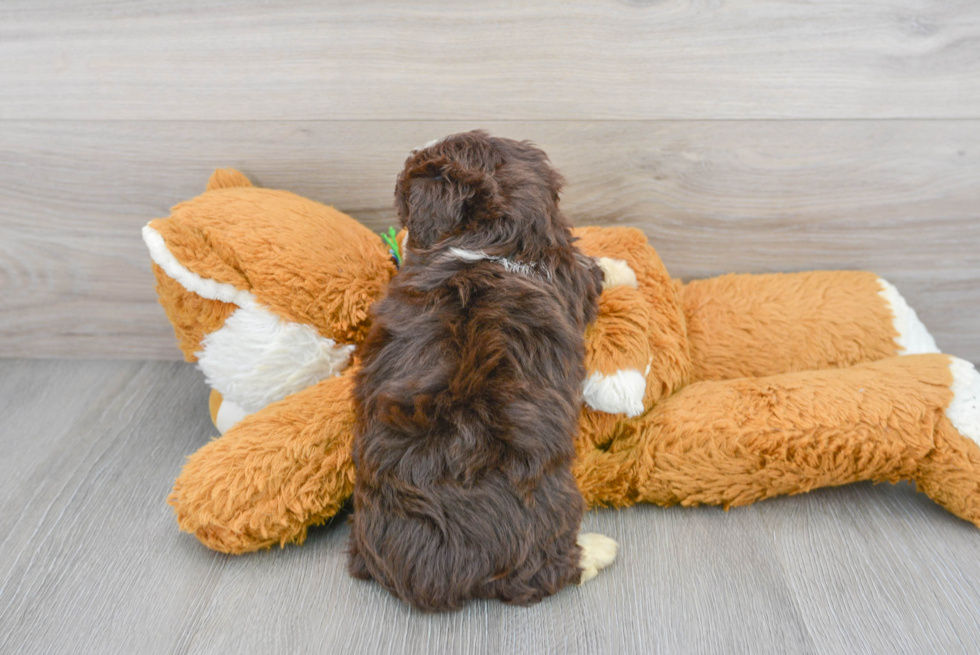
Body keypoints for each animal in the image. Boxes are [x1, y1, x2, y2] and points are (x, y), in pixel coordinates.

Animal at [348, 131, 616, 612]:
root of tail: (435, 571)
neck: (489, 243)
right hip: (552, 506)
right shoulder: (574, 279)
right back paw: (599, 549)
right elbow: (595, 269)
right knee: (547, 572)